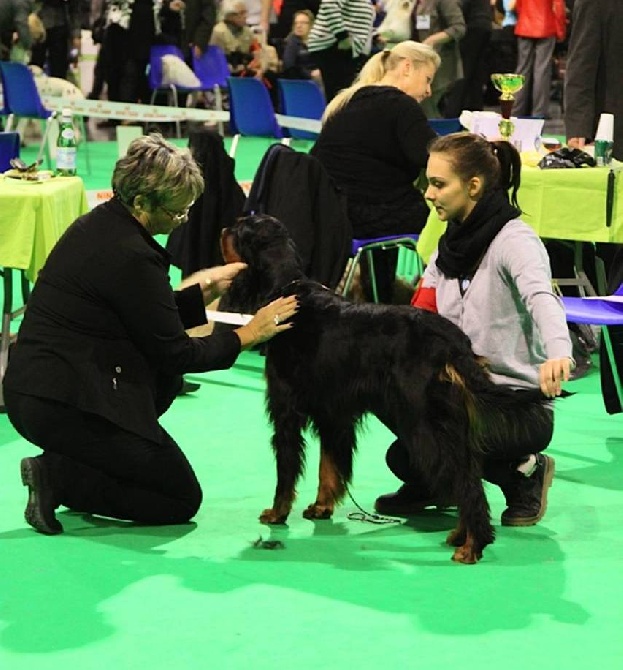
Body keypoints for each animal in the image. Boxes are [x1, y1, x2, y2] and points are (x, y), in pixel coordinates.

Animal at [218, 217, 544, 568]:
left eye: (240, 229)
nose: (223, 229)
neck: (287, 292)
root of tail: (452, 343)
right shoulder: (333, 414)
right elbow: (329, 466)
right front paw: (321, 507)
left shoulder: (286, 409)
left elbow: (287, 468)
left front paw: (277, 513)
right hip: (449, 423)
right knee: (467, 472)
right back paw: (461, 534)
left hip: (421, 425)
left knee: (462, 478)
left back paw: (473, 545)